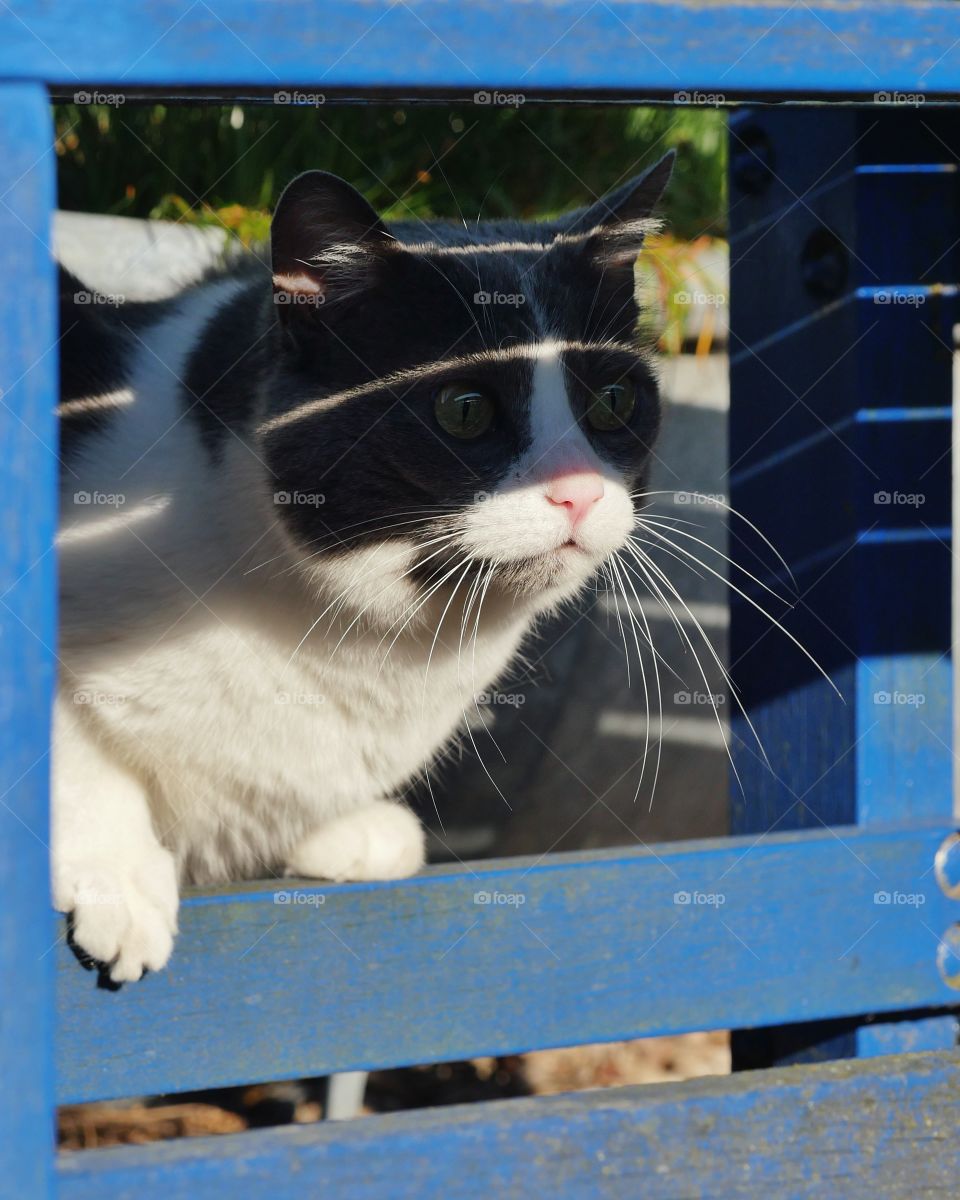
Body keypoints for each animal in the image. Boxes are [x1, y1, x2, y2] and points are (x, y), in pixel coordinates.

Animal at [52, 150, 676, 979]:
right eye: (464, 409)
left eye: (611, 400)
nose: (577, 493)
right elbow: (78, 757)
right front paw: (118, 878)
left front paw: (344, 832)